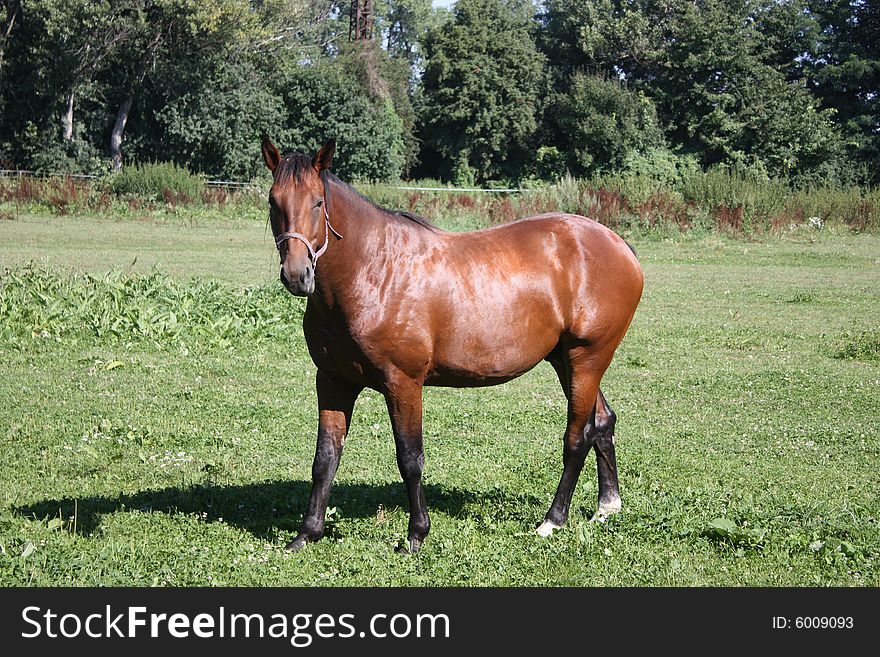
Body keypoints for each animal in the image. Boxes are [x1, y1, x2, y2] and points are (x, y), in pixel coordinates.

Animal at [258, 138, 644, 552]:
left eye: (318, 202)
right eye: (273, 201)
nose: (297, 275)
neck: (373, 271)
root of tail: (618, 245)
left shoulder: (403, 384)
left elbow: (410, 458)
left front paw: (416, 534)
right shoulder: (333, 381)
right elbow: (325, 458)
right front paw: (306, 534)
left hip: (587, 358)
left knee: (577, 437)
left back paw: (552, 521)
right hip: (566, 360)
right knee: (602, 422)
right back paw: (607, 507)